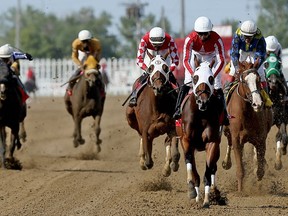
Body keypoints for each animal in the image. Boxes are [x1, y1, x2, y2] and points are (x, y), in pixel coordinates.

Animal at [178, 59, 223, 208]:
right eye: (195, 77)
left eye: (211, 78)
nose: (202, 101)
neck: (201, 113)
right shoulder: (187, 141)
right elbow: (190, 164)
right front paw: (193, 191)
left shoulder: (213, 142)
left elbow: (208, 170)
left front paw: (207, 199)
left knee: (213, 167)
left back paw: (214, 193)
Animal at [222, 60, 274, 192]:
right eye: (245, 82)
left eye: (258, 80)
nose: (257, 103)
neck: (247, 113)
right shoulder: (236, 138)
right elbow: (240, 170)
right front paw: (241, 191)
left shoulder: (261, 138)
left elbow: (260, 170)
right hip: (227, 131)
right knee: (229, 142)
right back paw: (226, 162)